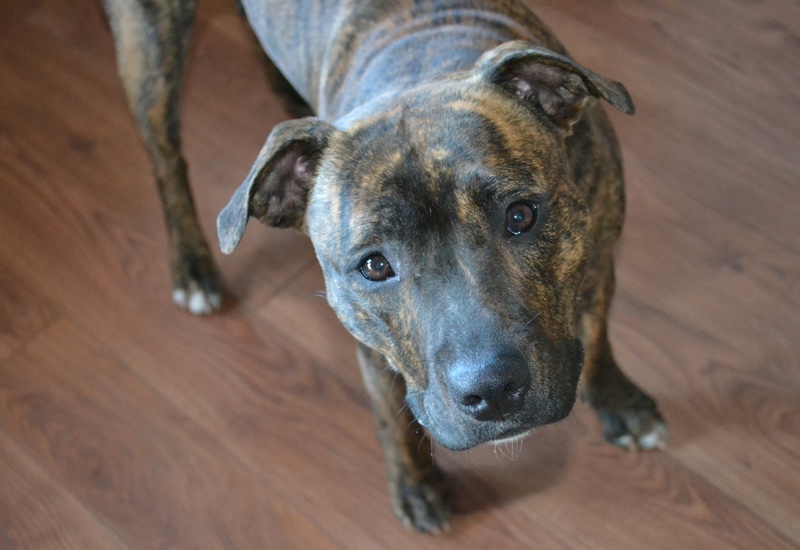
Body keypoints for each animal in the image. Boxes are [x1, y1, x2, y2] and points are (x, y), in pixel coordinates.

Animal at [106, 0, 668, 536]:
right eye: (375, 266)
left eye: (521, 216)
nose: (491, 390)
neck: (419, 61)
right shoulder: (371, 344)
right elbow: (388, 414)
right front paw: (415, 484)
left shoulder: (597, 260)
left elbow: (596, 338)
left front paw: (619, 404)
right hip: (150, 48)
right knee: (165, 156)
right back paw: (192, 267)